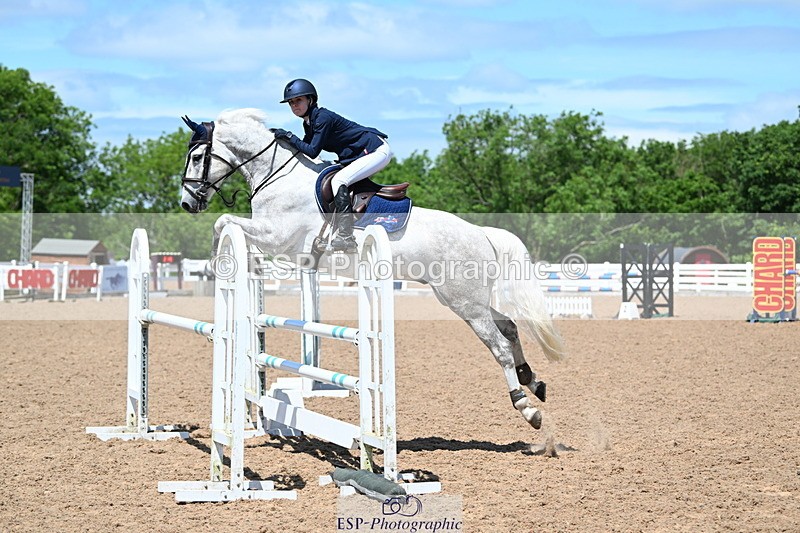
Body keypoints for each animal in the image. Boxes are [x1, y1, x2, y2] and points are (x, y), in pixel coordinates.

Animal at [179, 108, 565, 431]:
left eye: (197, 157)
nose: (186, 203)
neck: (277, 176)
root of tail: (482, 233)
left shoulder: (278, 236)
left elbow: (222, 221)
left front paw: (216, 261)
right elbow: (227, 225)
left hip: (465, 301)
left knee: (499, 345)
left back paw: (527, 407)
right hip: (461, 298)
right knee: (510, 327)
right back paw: (534, 381)